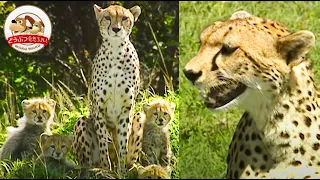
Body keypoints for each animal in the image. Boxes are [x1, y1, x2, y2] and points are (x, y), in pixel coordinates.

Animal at [74, 2, 142, 175]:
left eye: (124, 18)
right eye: (107, 17)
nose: (116, 29)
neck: (116, 51)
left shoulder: (127, 109)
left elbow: (123, 142)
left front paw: (122, 171)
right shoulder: (99, 107)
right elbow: (103, 140)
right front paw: (106, 168)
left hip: (139, 115)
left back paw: (134, 167)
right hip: (81, 121)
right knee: (86, 162)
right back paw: (94, 168)